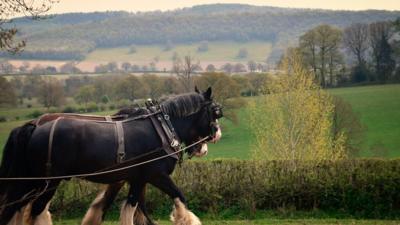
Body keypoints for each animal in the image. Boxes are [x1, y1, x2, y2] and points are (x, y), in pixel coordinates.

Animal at [0, 88, 222, 225]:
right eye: (215, 112)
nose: (216, 136)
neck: (162, 127)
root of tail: (34, 127)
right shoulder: (157, 175)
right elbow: (179, 197)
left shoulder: (137, 179)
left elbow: (131, 207)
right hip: (48, 181)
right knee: (35, 209)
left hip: (32, 180)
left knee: (16, 207)